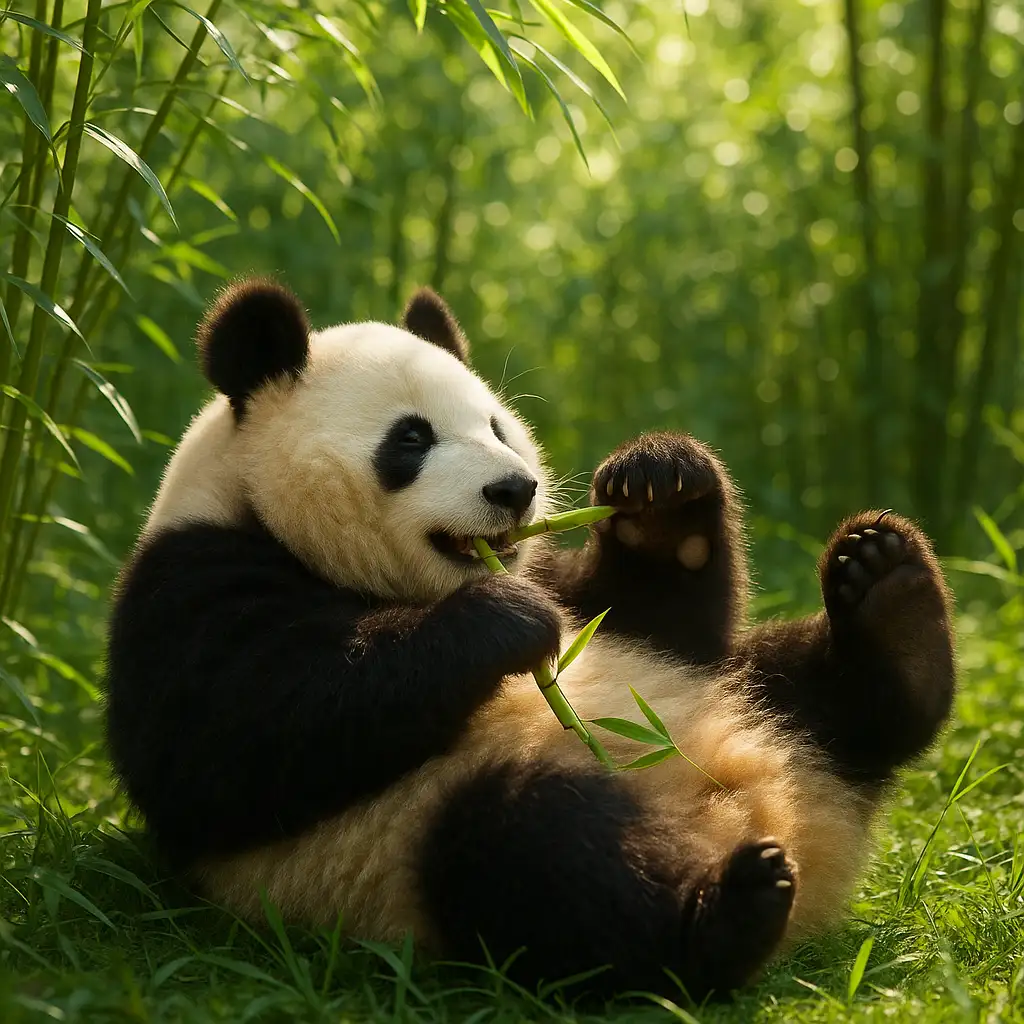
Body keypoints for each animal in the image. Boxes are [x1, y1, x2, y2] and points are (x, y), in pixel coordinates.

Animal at [105, 277, 956, 1000]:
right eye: (410, 440)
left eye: (497, 425)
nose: (513, 490)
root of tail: (801, 825)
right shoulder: (191, 583)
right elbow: (233, 742)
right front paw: (503, 621)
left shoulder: (576, 587)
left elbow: (654, 612)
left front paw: (661, 489)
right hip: (410, 838)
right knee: (539, 855)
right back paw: (729, 913)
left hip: (728, 690)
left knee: (812, 692)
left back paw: (892, 600)